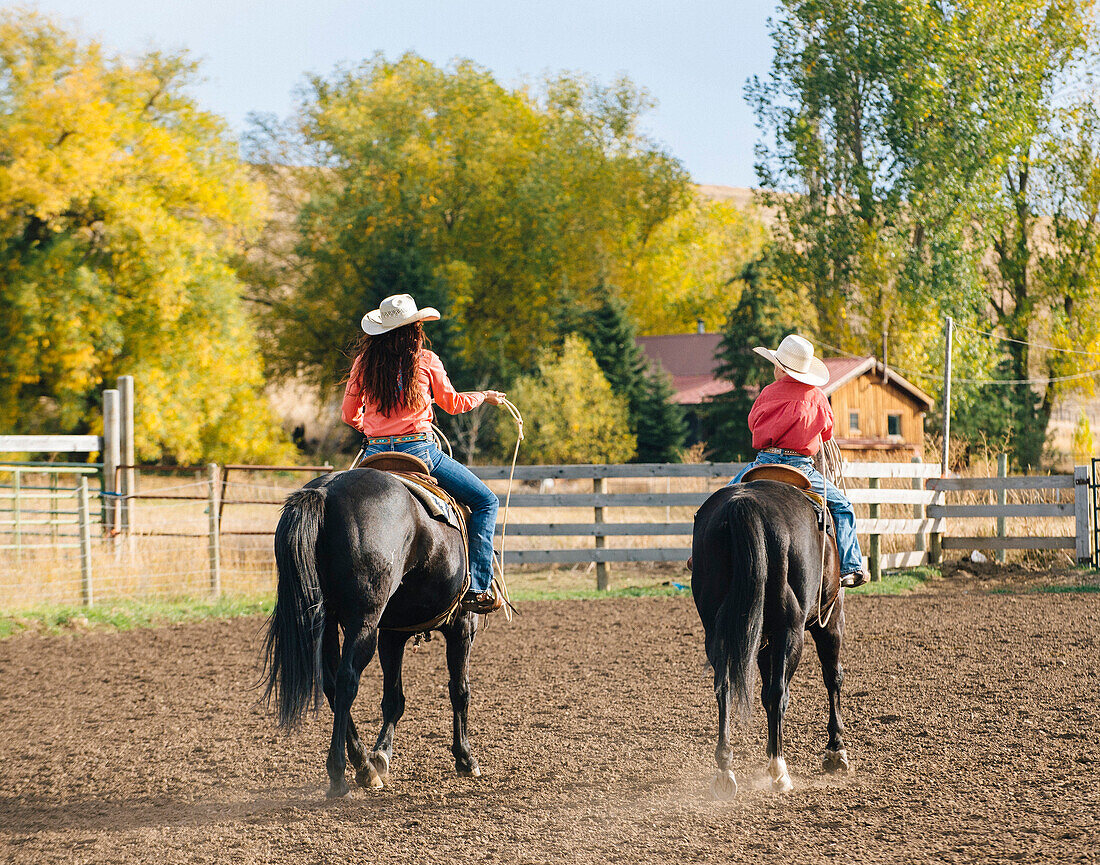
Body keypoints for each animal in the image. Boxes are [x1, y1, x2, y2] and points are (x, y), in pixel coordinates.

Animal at [261, 464, 481, 796]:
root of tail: (325, 492)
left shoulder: (392, 633)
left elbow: (393, 698)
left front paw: (381, 755)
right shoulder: (462, 626)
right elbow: (460, 690)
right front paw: (465, 758)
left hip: (326, 622)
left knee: (331, 685)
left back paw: (364, 766)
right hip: (364, 622)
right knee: (347, 680)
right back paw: (340, 774)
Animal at [690, 471, 844, 796]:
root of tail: (744, 506)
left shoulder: (760, 640)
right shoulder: (831, 617)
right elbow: (832, 677)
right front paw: (836, 752)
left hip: (720, 631)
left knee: (724, 688)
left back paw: (725, 770)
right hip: (791, 632)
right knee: (779, 693)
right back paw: (779, 770)